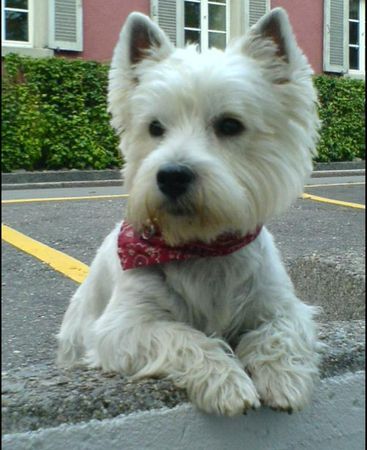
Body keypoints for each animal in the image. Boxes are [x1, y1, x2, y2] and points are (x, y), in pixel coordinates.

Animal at [57, 7, 322, 414]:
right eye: (154, 127)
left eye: (230, 124)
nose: (171, 176)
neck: (203, 248)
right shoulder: (122, 327)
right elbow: (182, 337)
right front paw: (227, 383)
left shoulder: (283, 305)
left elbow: (280, 331)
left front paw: (283, 379)